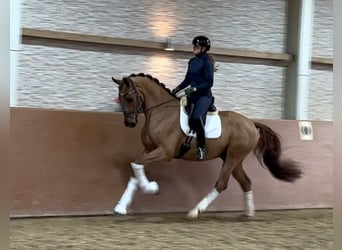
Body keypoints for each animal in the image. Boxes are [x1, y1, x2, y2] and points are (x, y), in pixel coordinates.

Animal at [111, 73, 300, 219]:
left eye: (129, 98)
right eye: (120, 98)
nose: (129, 123)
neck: (160, 112)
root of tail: (251, 123)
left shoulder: (165, 152)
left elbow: (136, 165)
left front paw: (152, 188)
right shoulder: (149, 150)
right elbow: (136, 168)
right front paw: (121, 207)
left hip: (233, 157)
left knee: (221, 184)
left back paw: (195, 211)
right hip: (233, 158)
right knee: (245, 182)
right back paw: (249, 213)